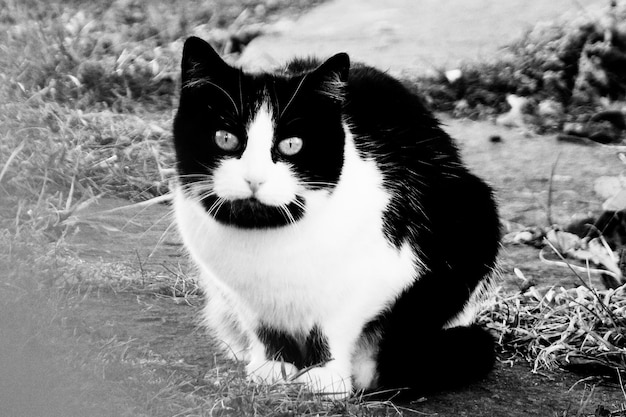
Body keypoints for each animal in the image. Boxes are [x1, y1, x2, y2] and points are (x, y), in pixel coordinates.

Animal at [173, 35, 500, 396]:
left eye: (291, 145)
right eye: (225, 138)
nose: (254, 179)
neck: (268, 245)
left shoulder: (378, 279)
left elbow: (332, 330)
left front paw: (325, 378)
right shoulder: (236, 293)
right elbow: (264, 330)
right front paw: (273, 369)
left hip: (473, 213)